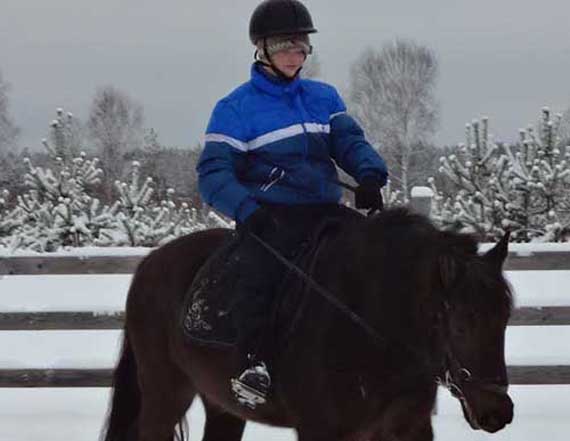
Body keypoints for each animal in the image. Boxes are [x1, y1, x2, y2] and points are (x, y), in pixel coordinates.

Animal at [100, 207, 512, 440]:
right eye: (460, 325)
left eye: (504, 320)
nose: (497, 412)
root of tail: (149, 264)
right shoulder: (320, 430)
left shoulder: (408, 427)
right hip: (165, 393)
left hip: (221, 405)